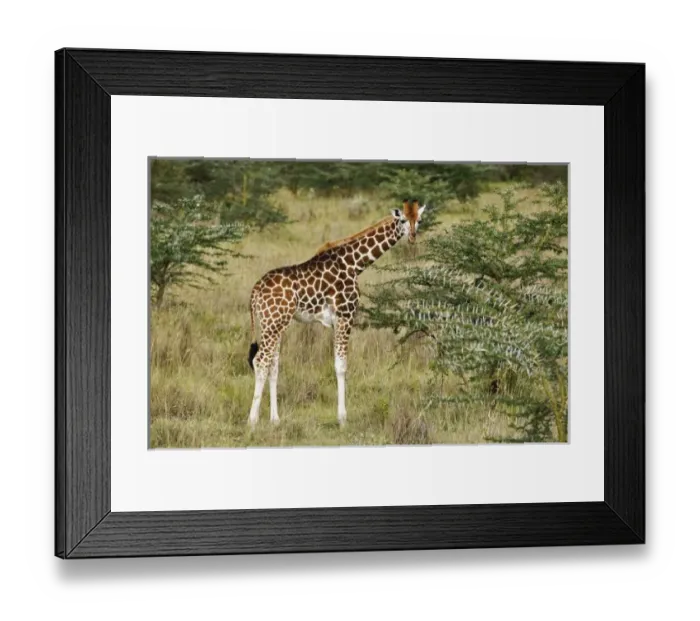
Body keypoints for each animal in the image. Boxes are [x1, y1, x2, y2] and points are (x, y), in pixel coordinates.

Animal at [246, 199, 427, 428]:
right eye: (402, 220)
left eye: (419, 220)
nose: (412, 237)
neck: (355, 264)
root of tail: (255, 291)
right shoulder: (345, 315)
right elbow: (341, 366)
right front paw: (342, 418)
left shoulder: (338, 319)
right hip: (274, 322)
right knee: (260, 361)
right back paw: (252, 421)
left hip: (270, 323)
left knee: (272, 364)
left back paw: (275, 419)